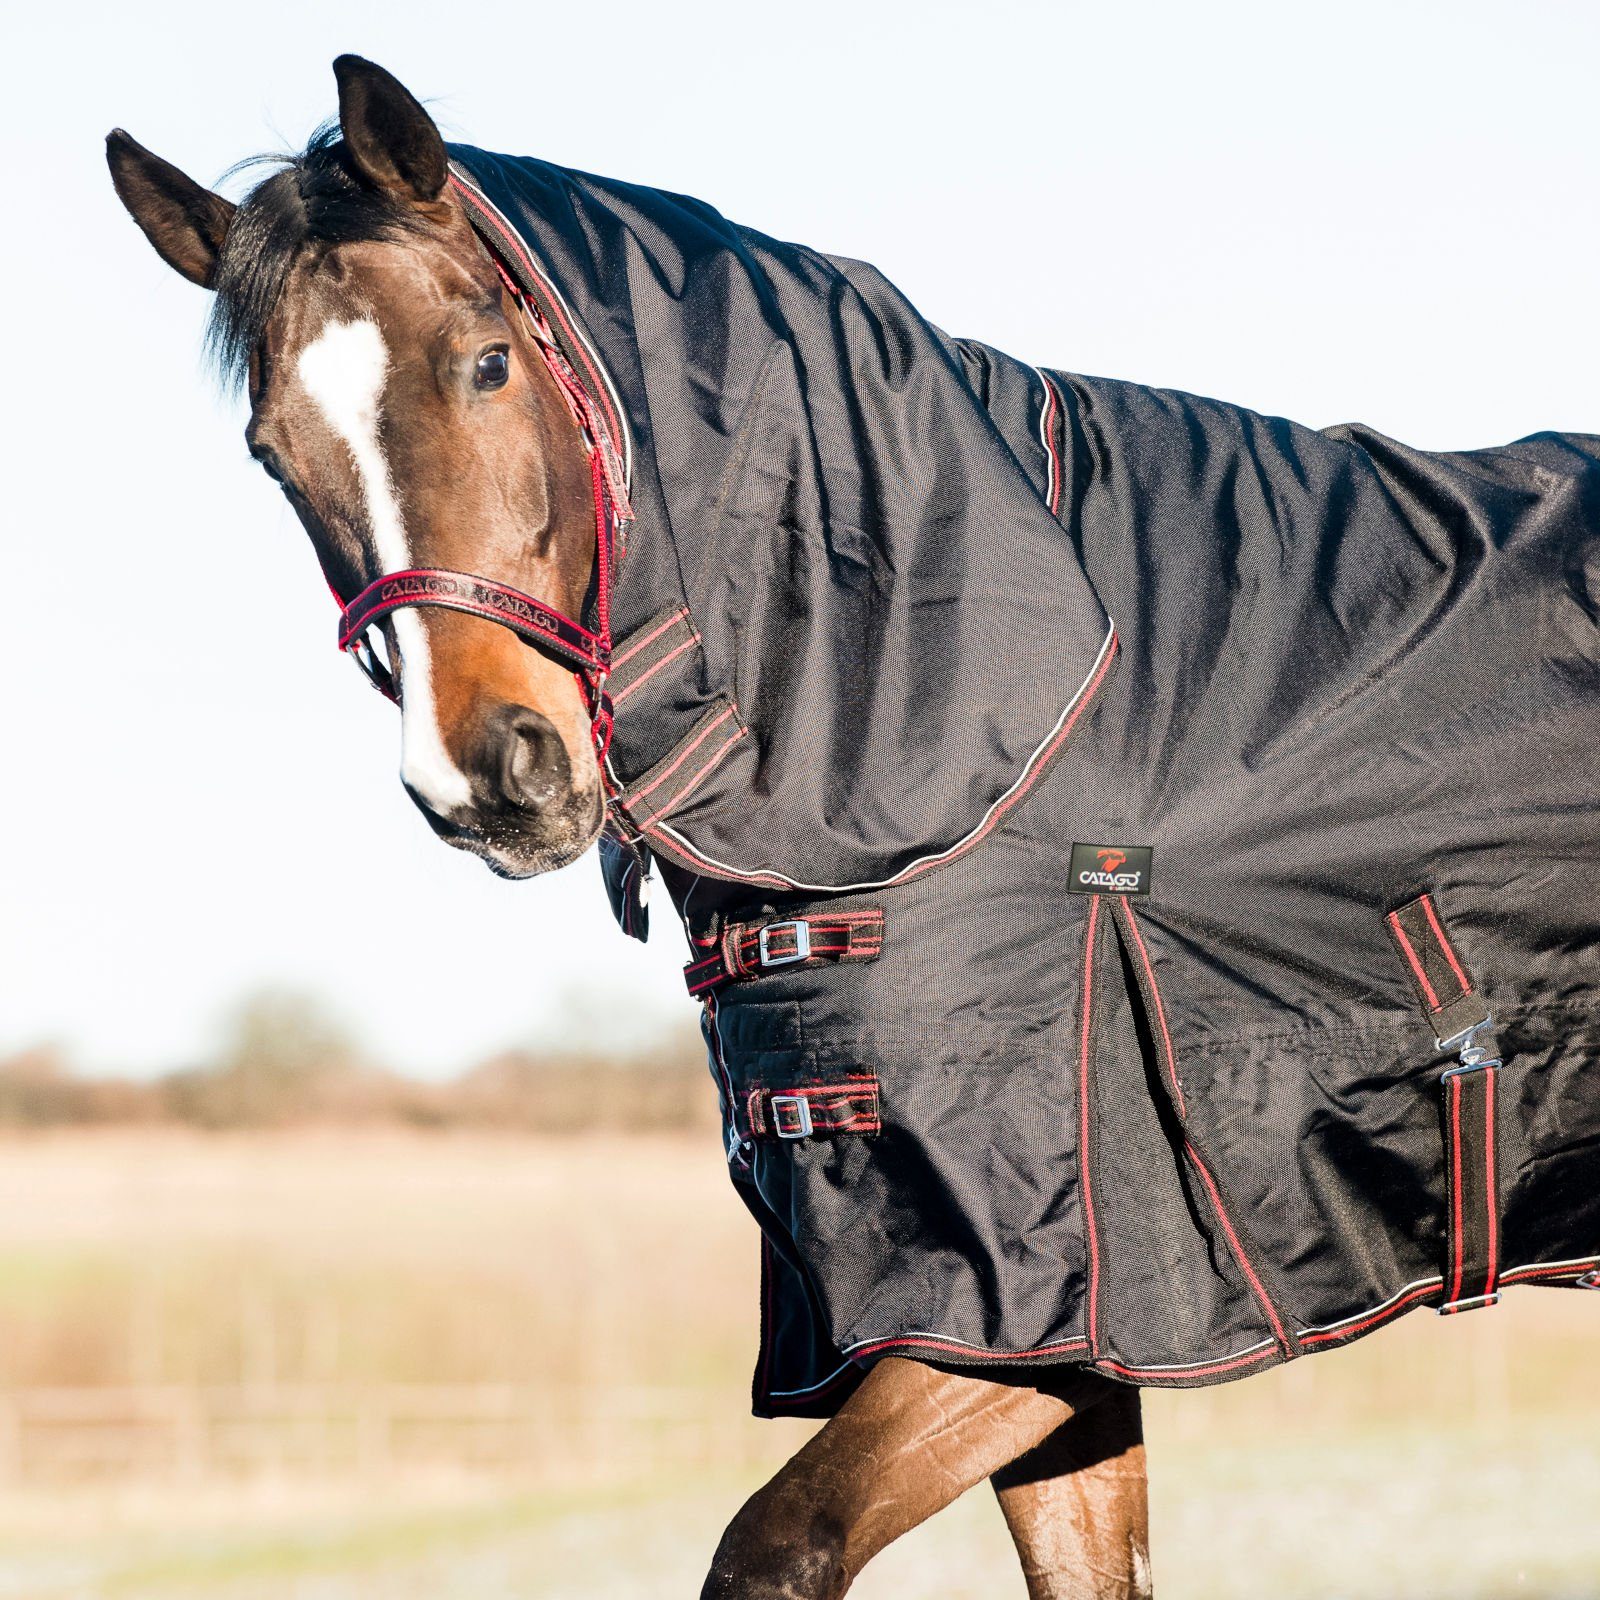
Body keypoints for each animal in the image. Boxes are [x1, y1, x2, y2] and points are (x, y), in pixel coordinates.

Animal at [107, 53, 1598, 1599]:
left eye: (487, 361)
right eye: (274, 451)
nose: (485, 778)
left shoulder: (1021, 1309)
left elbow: (776, 1548)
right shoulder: (1050, 1335)